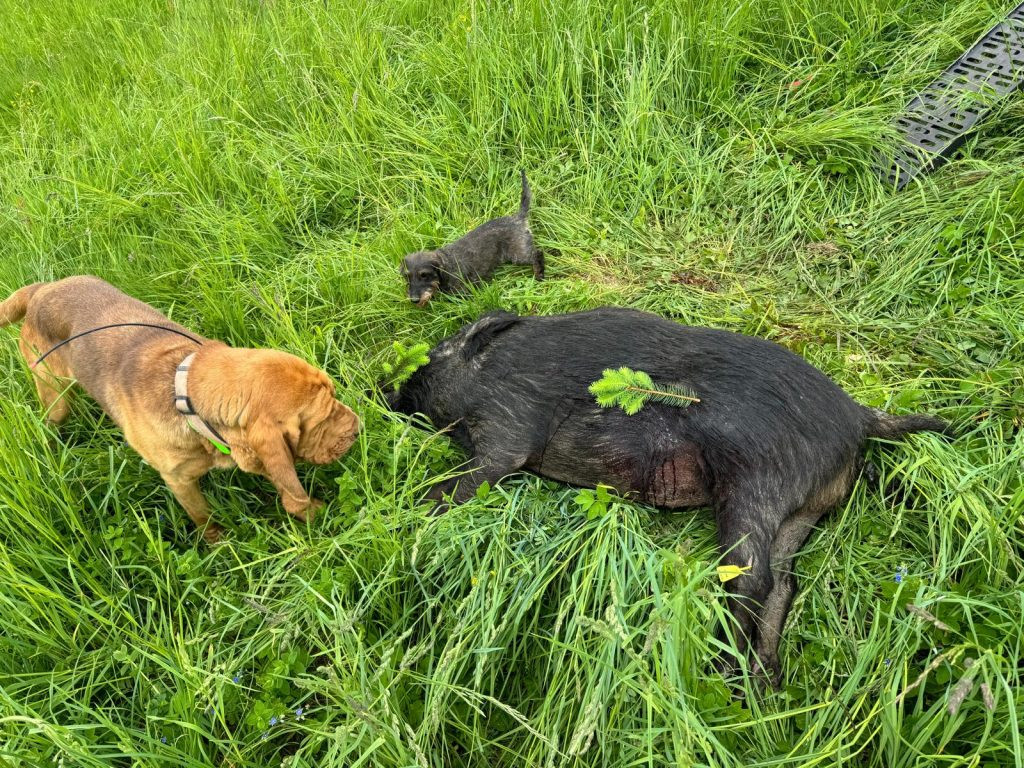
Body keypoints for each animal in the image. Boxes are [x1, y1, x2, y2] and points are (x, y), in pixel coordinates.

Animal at [0, 274, 360, 540]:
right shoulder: (179, 480)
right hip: (56, 397)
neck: (188, 401)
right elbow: (203, 516)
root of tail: (41, 290)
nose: (358, 427)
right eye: (321, 419)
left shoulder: (250, 449)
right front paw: (218, 543)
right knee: (50, 424)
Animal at [385, 309, 950, 684]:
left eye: (431, 356)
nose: (384, 391)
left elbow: (462, 483)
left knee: (753, 577)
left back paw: (721, 668)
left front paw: (412, 512)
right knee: (786, 583)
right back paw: (761, 679)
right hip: (802, 511)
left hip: (753, 481)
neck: (484, 374)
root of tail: (860, 416)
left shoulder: (506, 429)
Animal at [399, 173, 544, 309]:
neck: (447, 266)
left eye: (424, 275)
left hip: (518, 253)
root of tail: (518, 218)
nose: (414, 300)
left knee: (537, 254)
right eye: (407, 276)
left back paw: (539, 273)